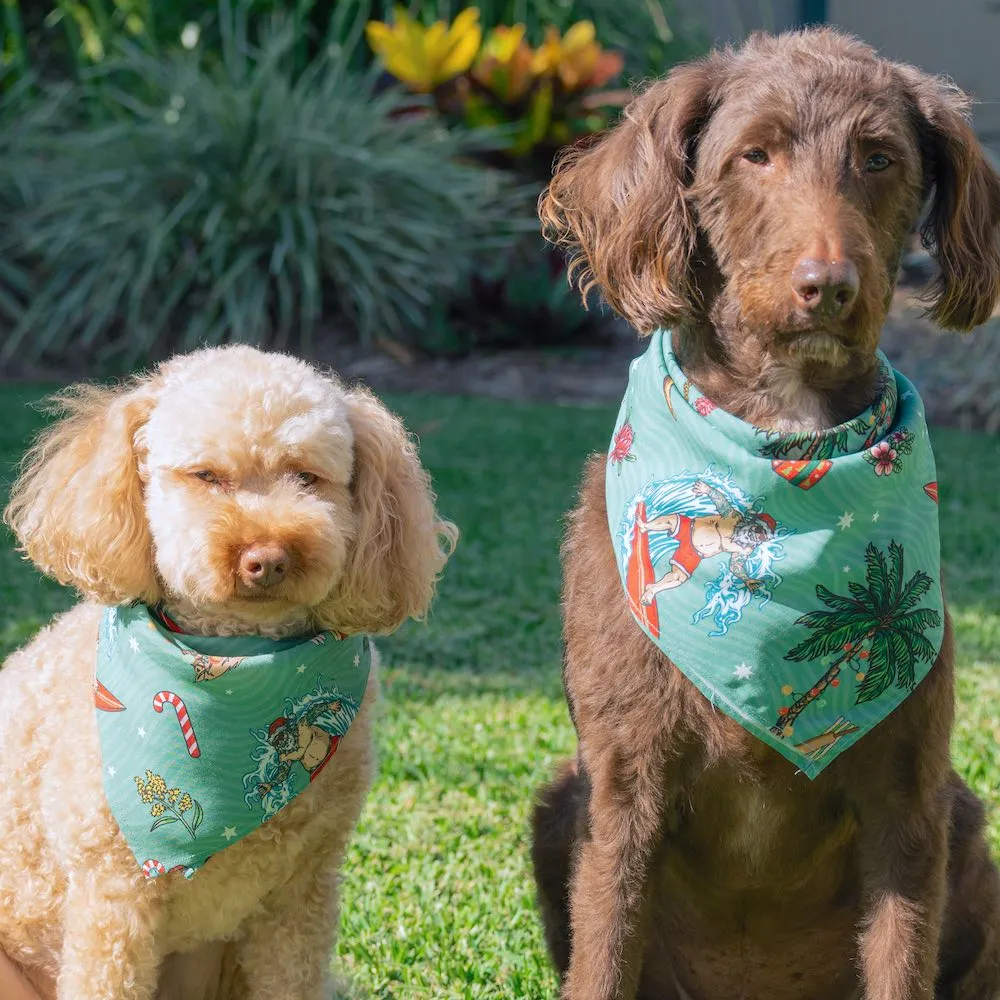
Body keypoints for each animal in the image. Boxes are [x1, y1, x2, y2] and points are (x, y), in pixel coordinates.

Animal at [536, 25, 1000, 1000]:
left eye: (879, 157)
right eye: (755, 154)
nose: (828, 284)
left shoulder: (910, 796)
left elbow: (902, 961)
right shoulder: (623, 785)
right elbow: (603, 956)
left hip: (966, 817)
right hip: (561, 798)